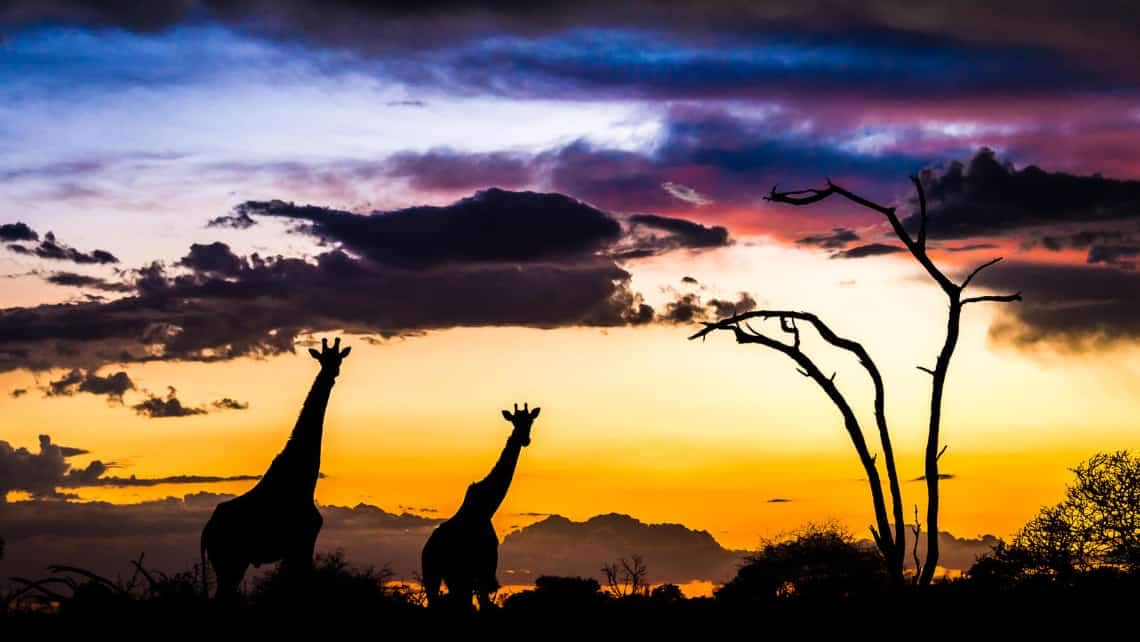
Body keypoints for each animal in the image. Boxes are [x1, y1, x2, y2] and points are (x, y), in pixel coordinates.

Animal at [201, 337, 351, 597]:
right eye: (323, 359)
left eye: (338, 358)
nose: (332, 373)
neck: (302, 477)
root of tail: (207, 529)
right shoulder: (302, 542)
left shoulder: (296, 548)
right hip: (230, 562)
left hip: (229, 564)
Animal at [421, 403, 540, 611]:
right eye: (514, 421)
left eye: (530, 420)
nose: (525, 439)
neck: (486, 508)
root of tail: (426, 550)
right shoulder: (483, 572)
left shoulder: (476, 575)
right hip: (441, 575)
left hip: (442, 576)